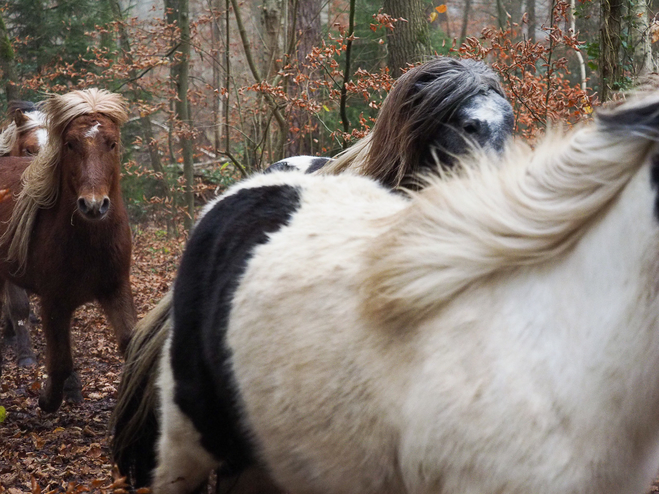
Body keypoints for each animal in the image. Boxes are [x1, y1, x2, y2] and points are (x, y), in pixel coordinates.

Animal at [0, 89, 135, 412]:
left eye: (112, 144)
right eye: (70, 144)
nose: (94, 205)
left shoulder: (116, 288)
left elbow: (132, 343)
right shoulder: (53, 299)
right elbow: (58, 359)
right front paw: (48, 394)